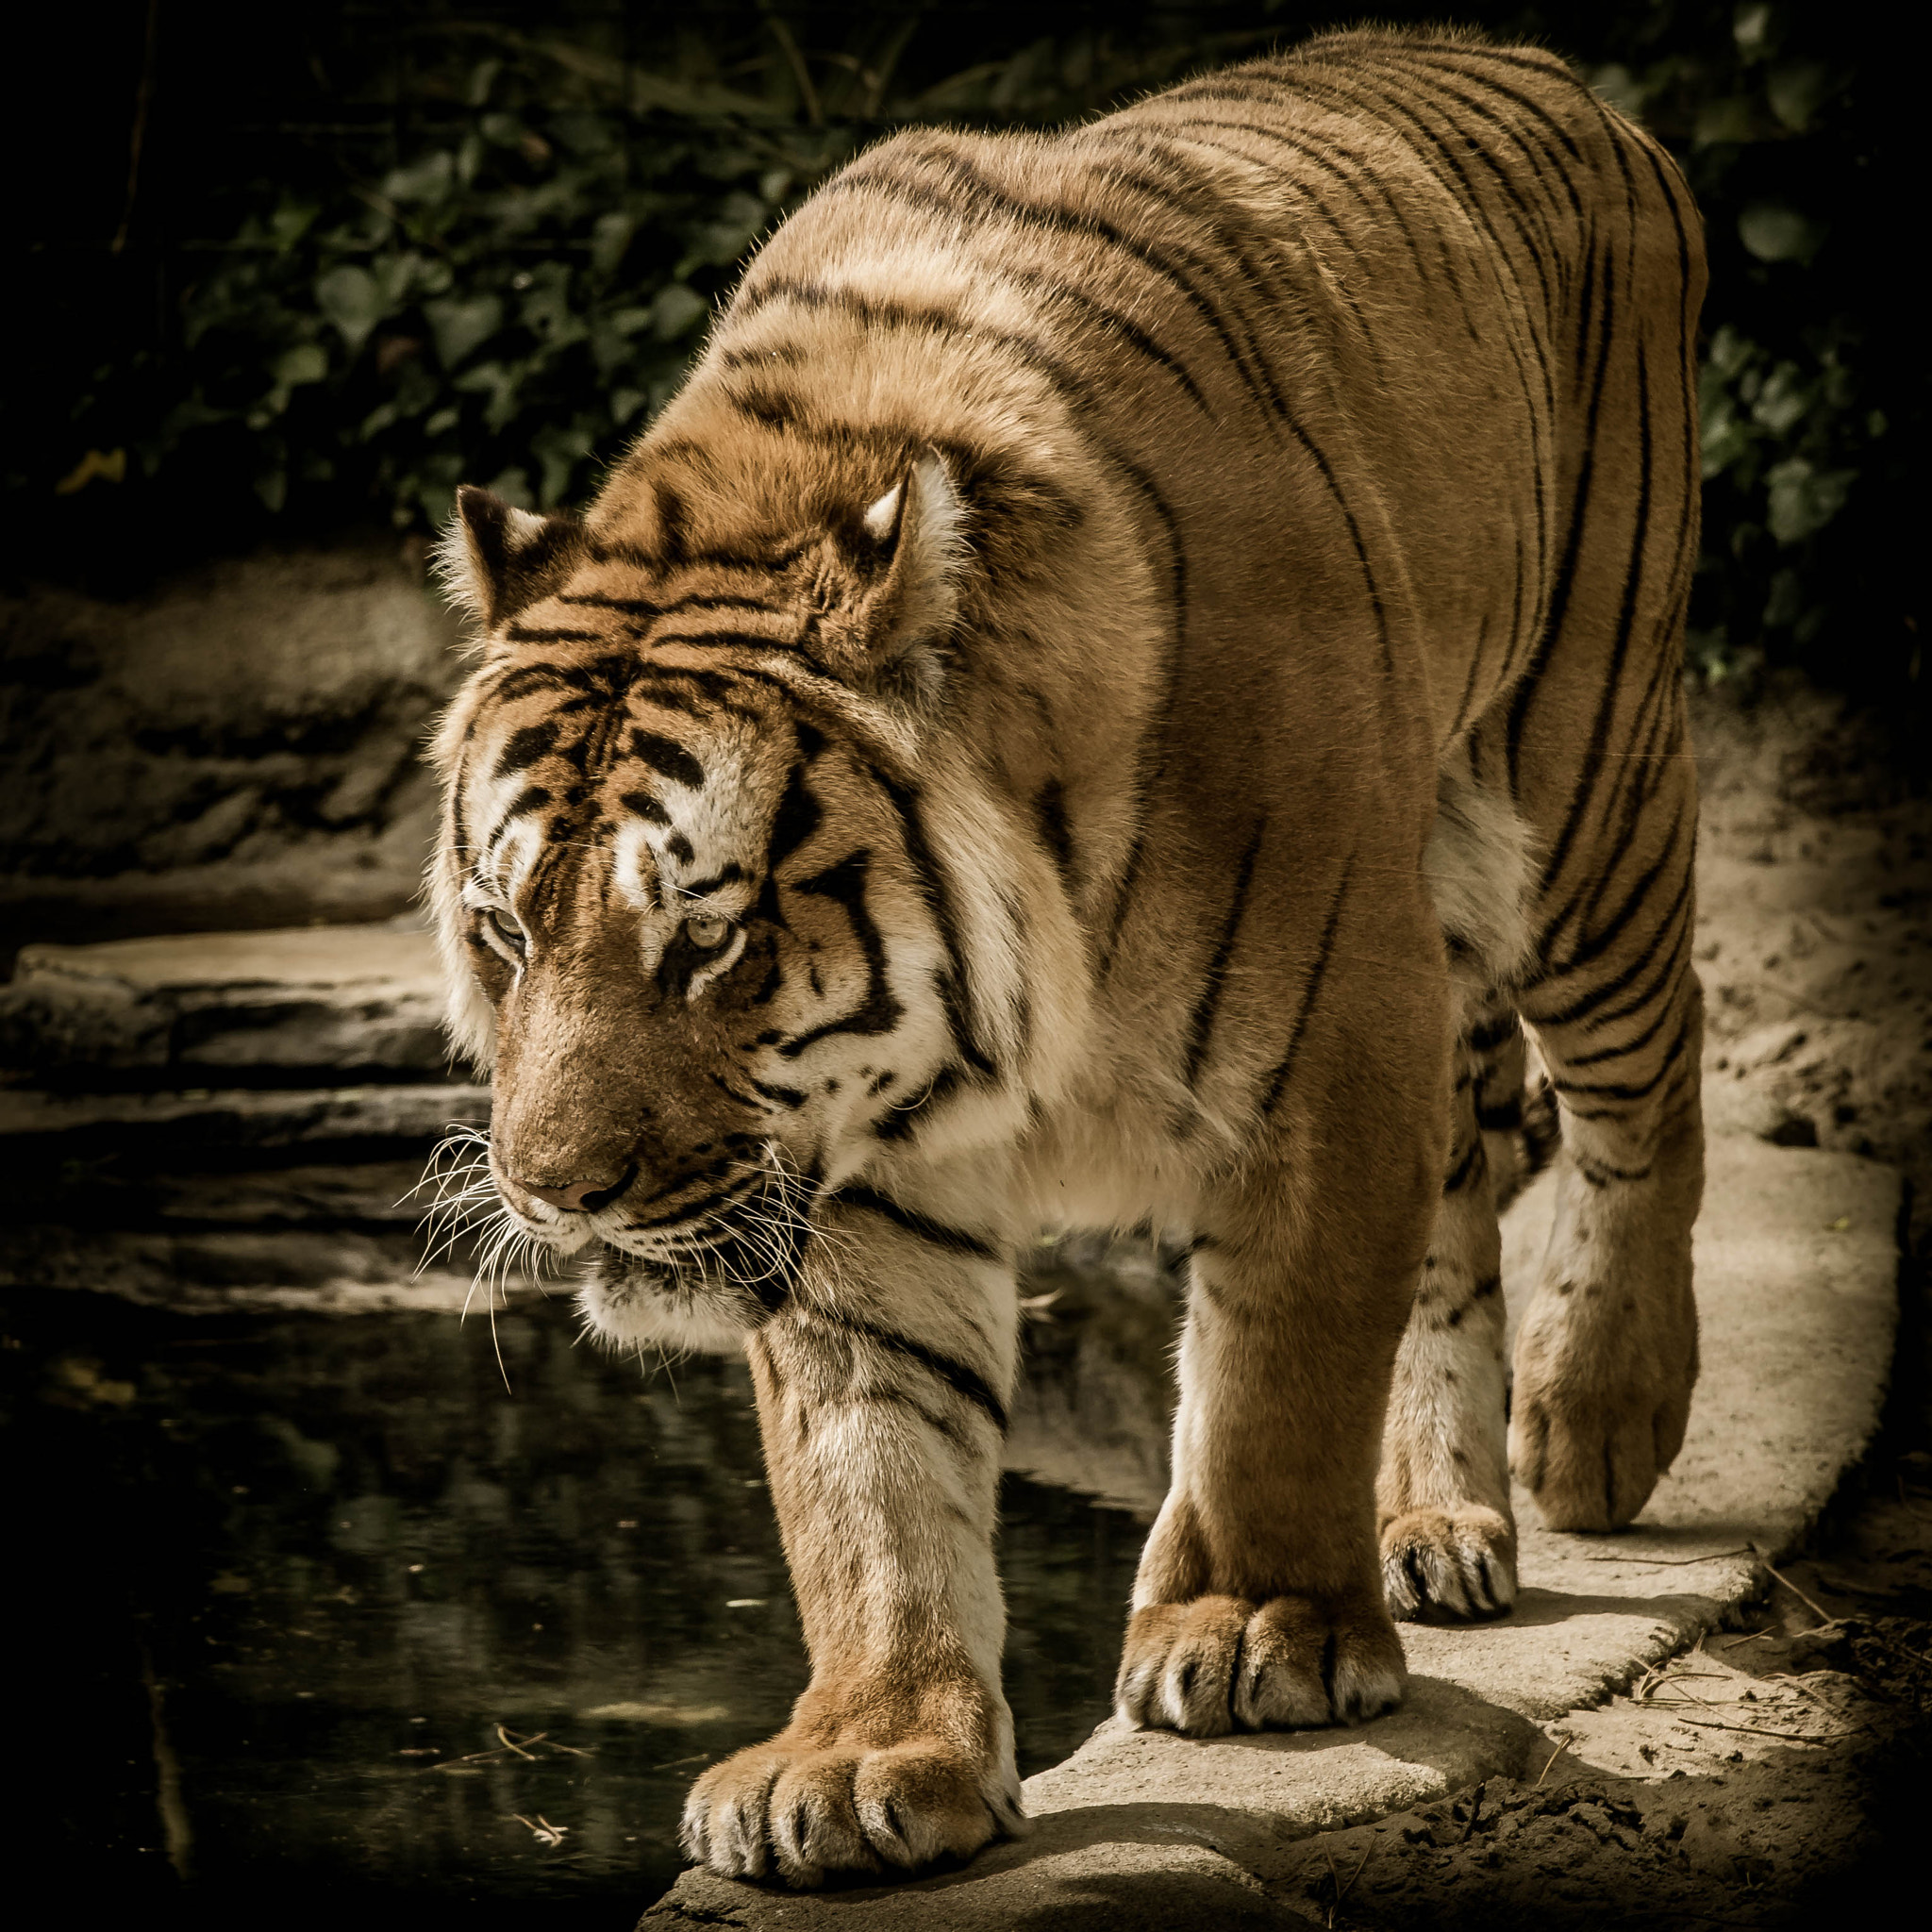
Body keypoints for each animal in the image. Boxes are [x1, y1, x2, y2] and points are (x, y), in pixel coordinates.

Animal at [426, 23, 1707, 1890]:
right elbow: (872, 1462)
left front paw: (1252, 1627)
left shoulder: (1333, 1051)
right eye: (510, 926)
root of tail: (1544, 68)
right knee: (1467, 1203)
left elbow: (1276, 1370)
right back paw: (1432, 1520)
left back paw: (1598, 1414)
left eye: (709, 938)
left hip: (1587, 782)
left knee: (1642, 1088)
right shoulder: (854, 1149)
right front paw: (867, 1751)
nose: (554, 1192)